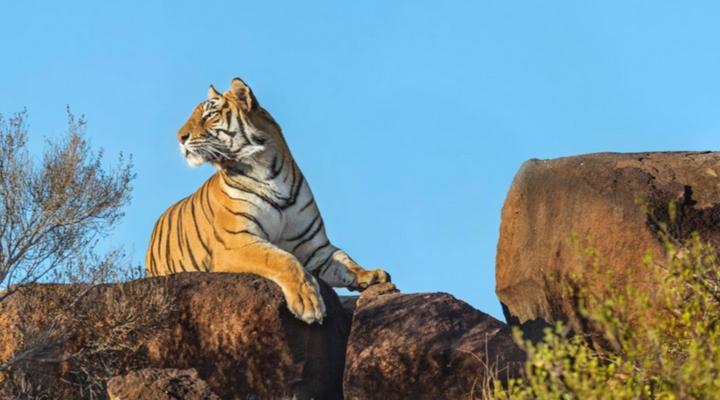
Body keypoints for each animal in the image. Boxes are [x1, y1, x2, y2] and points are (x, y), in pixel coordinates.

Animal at [146, 77, 391, 324]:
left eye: (210, 115)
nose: (180, 138)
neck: (267, 171)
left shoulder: (314, 248)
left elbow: (344, 259)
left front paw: (372, 275)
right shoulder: (236, 241)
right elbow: (283, 259)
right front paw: (308, 303)